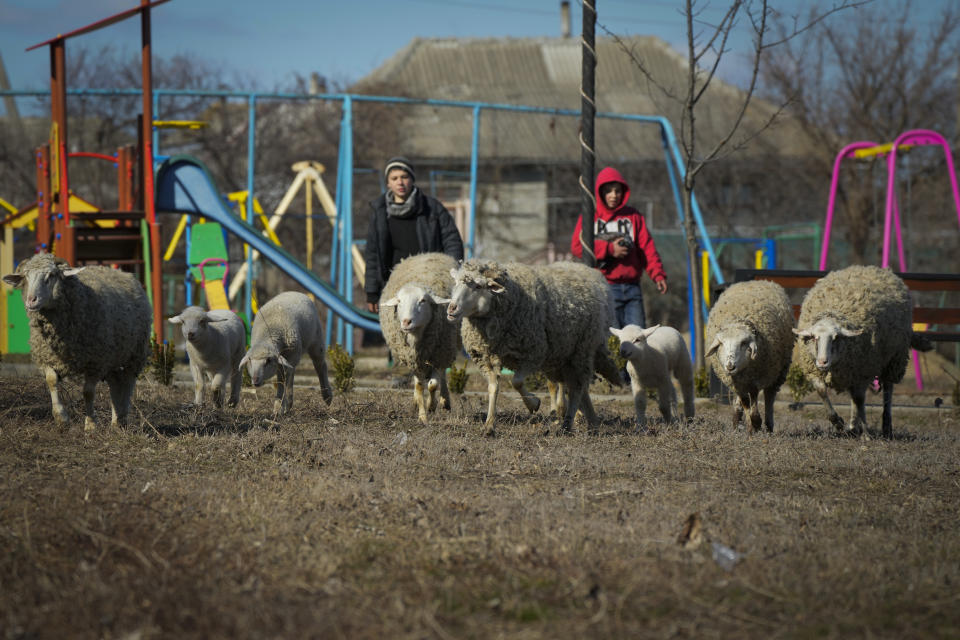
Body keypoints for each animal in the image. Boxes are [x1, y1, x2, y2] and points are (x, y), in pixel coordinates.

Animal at [1, 252, 150, 432]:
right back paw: (116, 422)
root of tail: (124, 273)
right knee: (115, 385)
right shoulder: (48, 357)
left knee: (127, 384)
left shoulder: (95, 362)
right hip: (114, 357)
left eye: (51, 275)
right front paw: (61, 418)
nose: (31, 300)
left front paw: (91, 424)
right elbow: (51, 381)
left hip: (134, 355)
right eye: (25, 277)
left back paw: (121, 420)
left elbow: (88, 392)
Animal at [376, 251, 460, 424]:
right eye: (399, 301)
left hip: (446, 349)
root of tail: (427, 253)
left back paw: (444, 401)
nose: (406, 322)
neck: (417, 338)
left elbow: (433, 384)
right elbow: (420, 386)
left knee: (442, 377)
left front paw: (431, 406)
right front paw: (422, 416)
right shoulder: (414, 359)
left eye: (423, 301)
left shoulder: (439, 354)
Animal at [444, 258, 620, 432]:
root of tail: (585, 268)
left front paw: (533, 404)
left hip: (583, 350)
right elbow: (493, 387)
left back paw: (568, 424)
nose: (451, 308)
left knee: (577, 387)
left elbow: (517, 382)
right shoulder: (485, 357)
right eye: (456, 282)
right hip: (563, 356)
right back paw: (590, 421)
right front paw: (489, 424)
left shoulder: (533, 354)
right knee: (576, 387)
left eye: (478, 286)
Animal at [704, 282, 796, 436]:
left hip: (779, 371)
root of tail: (757, 282)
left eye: (743, 343)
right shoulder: (738, 382)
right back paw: (737, 421)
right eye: (721, 343)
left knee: (769, 396)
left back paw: (769, 426)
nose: (730, 366)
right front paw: (750, 427)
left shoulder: (755, 379)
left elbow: (753, 401)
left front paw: (756, 423)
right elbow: (745, 402)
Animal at [788, 264, 928, 440]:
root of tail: (873, 268)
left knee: (887, 392)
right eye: (814, 337)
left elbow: (861, 400)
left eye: (836, 338)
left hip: (893, 360)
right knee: (854, 397)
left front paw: (866, 432)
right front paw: (838, 422)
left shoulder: (863, 371)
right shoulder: (818, 372)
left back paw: (885, 426)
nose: (822, 362)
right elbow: (823, 391)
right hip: (856, 372)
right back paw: (852, 427)